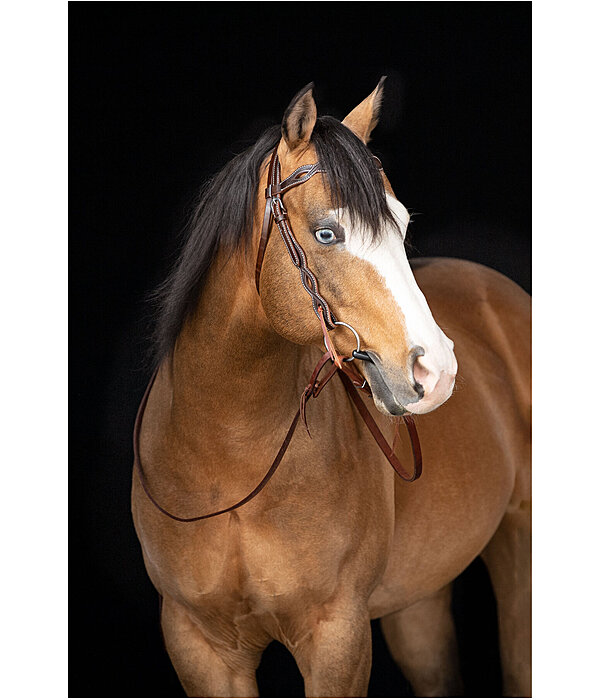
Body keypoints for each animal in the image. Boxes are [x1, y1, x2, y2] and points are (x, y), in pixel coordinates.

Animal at [131, 79, 528, 696]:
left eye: (402, 226)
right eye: (326, 232)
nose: (435, 370)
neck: (226, 459)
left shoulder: (336, 636)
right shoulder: (199, 644)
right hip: (419, 597)